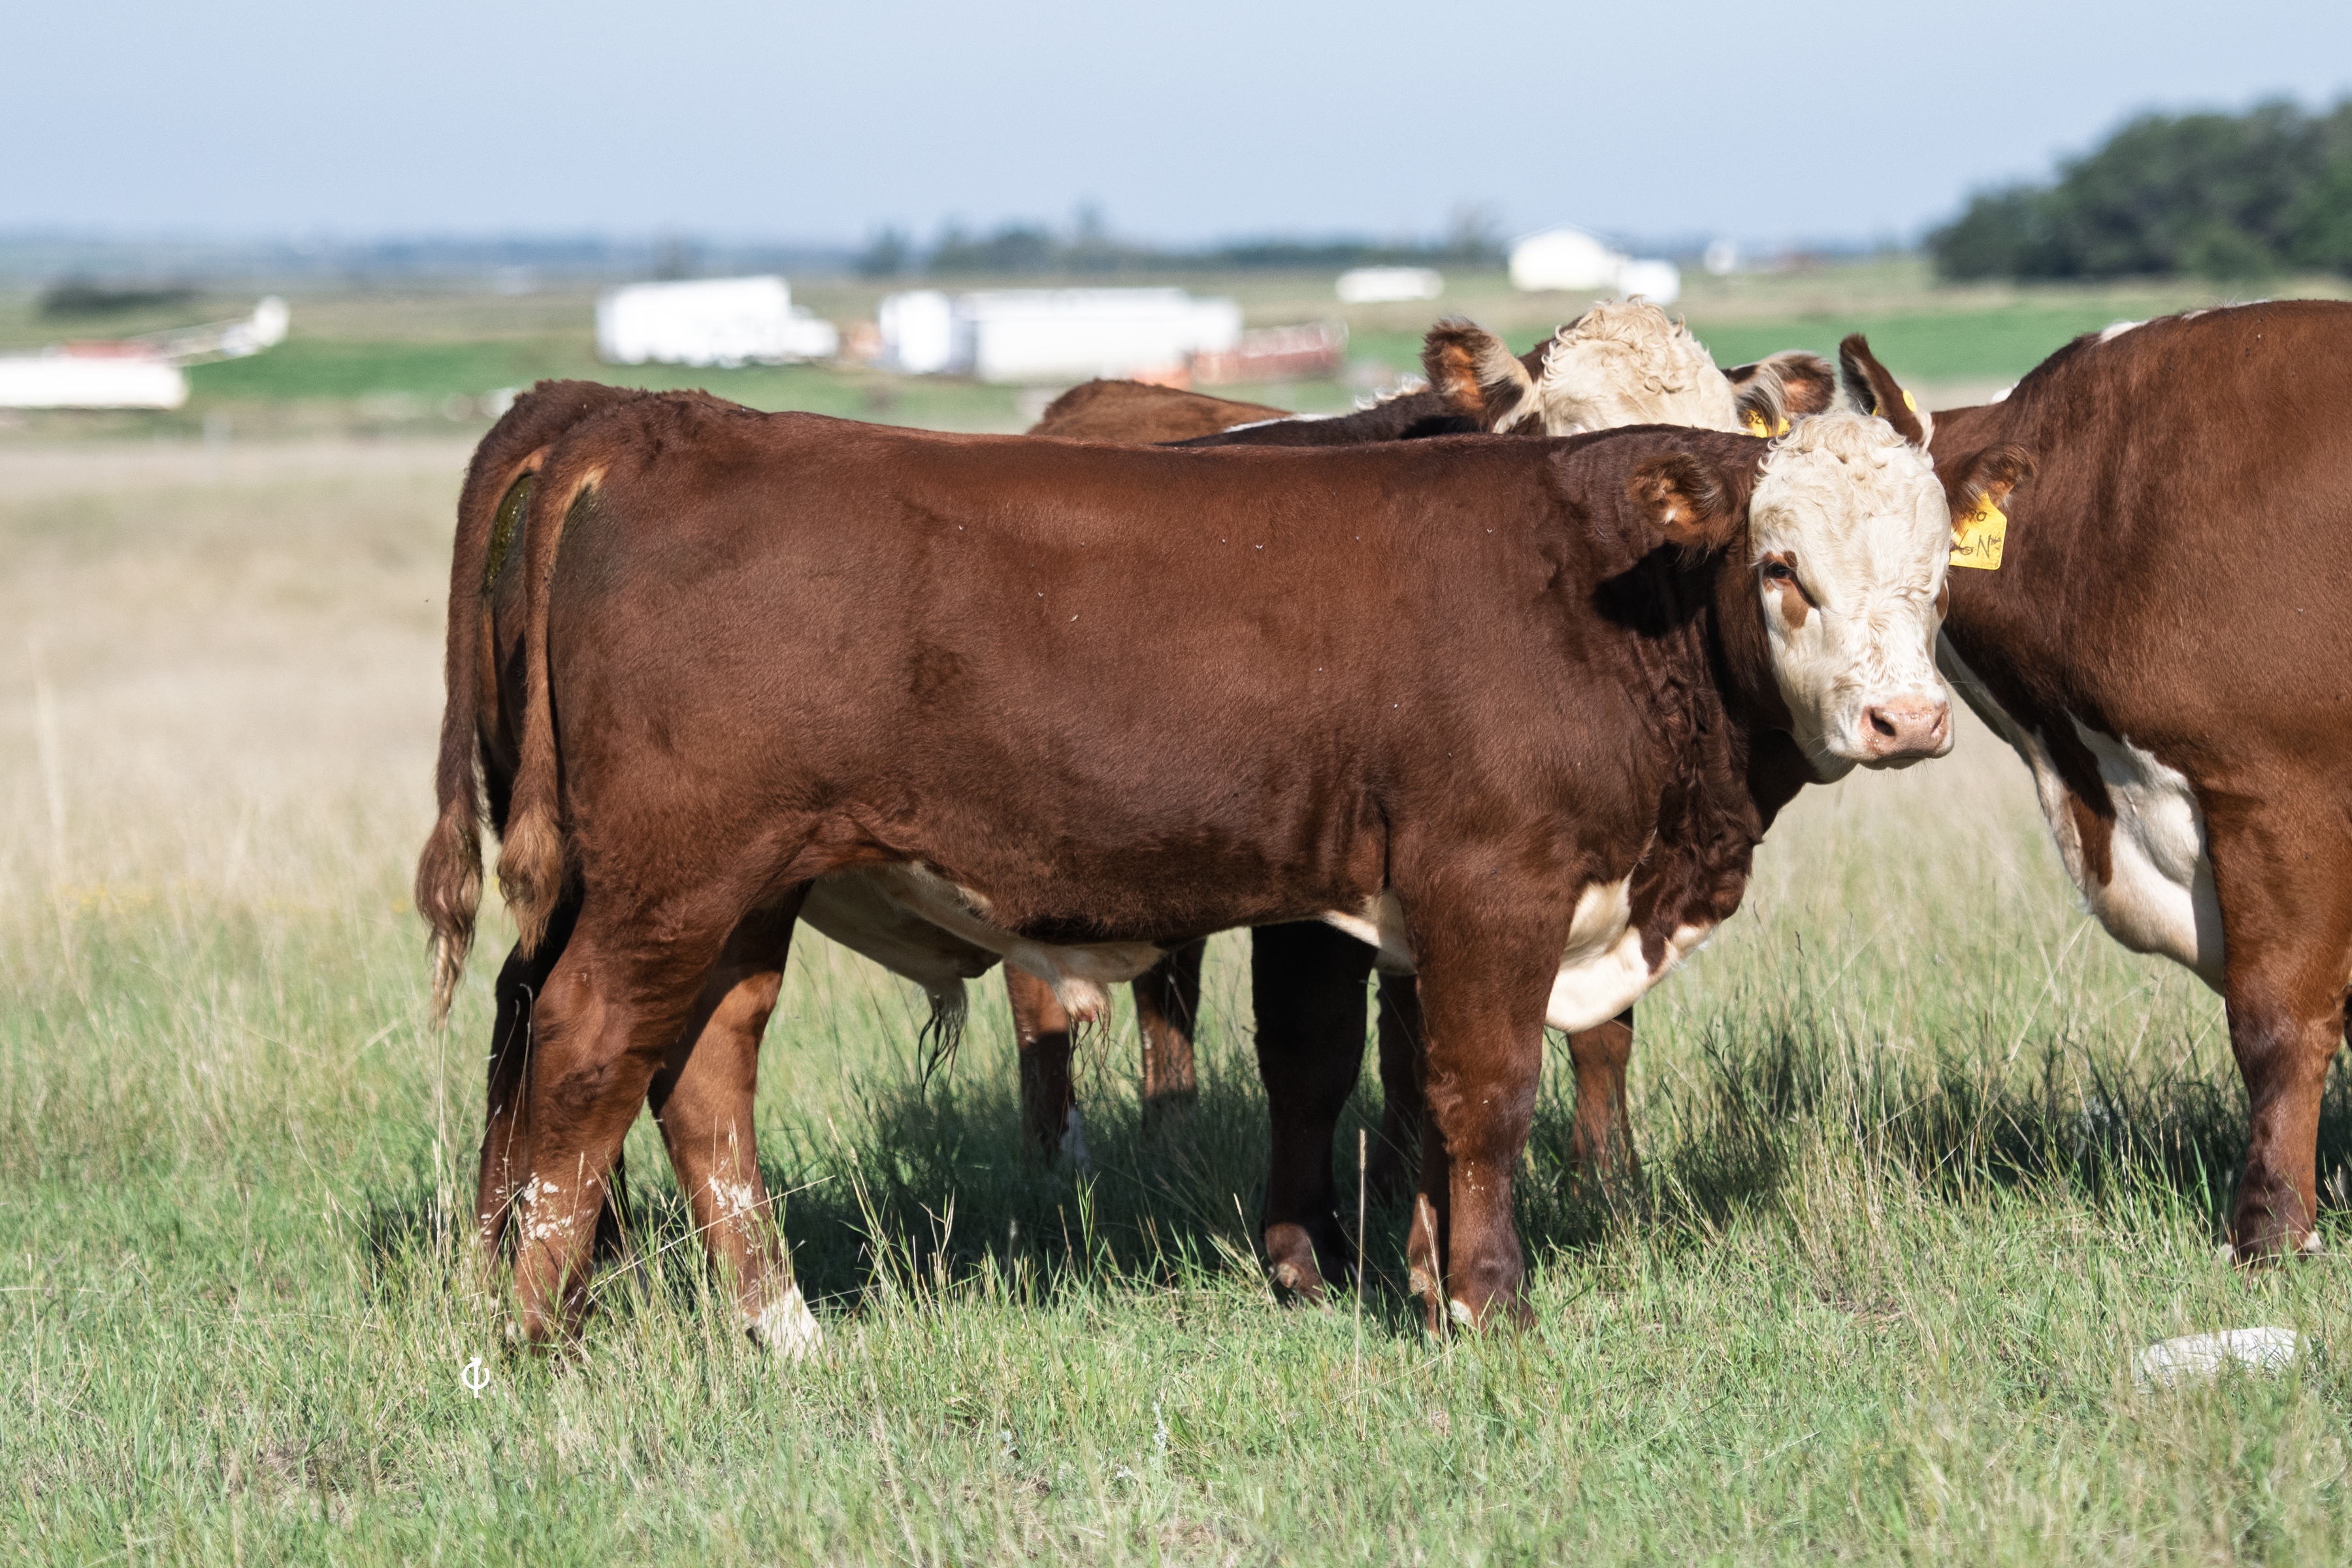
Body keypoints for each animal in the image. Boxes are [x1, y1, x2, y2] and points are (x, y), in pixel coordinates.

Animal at [417, 393, 2023, 1345]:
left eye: (1938, 577)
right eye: (1782, 567)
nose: (1906, 720)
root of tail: (657, 418)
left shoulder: (1402, 909)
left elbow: (1399, 1090)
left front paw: (1413, 1275)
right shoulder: (1491, 885)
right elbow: (1481, 1095)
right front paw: (1485, 1307)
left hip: (745, 892)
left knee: (700, 1075)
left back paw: (781, 1329)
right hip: (674, 880)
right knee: (581, 1049)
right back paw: (527, 1335)